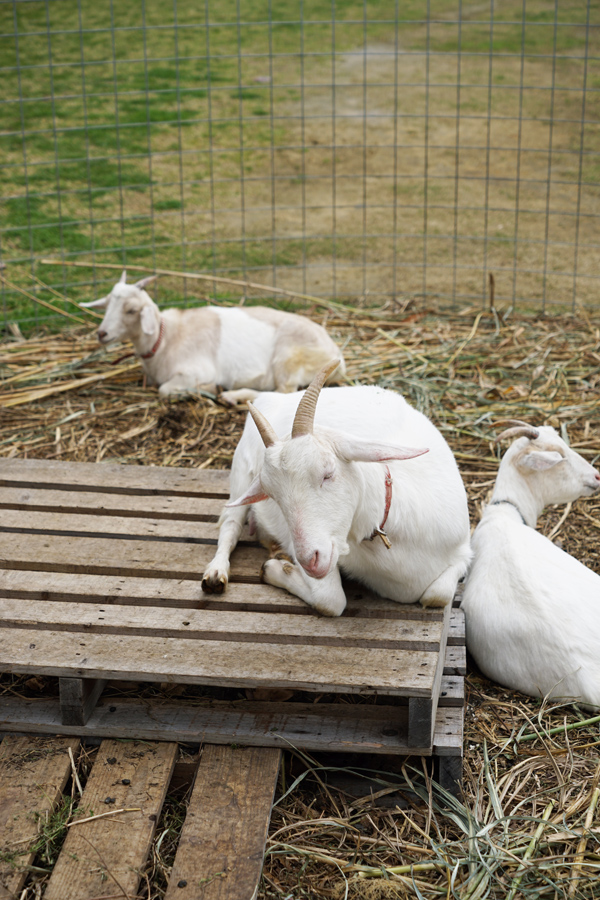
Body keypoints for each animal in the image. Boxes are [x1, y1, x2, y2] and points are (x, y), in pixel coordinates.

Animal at [81, 270, 344, 404]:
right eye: (107, 305)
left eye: (132, 310)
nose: (102, 334)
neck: (166, 338)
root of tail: (338, 356)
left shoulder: (195, 370)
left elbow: (164, 390)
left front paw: (208, 388)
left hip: (288, 359)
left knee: (285, 393)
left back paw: (231, 396)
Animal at [203, 362, 474, 616]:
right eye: (273, 496)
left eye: (328, 473)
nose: (309, 560)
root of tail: (272, 398)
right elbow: (330, 601)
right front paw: (276, 569)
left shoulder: (463, 551)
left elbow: (437, 596)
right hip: (240, 474)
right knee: (230, 525)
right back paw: (215, 574)